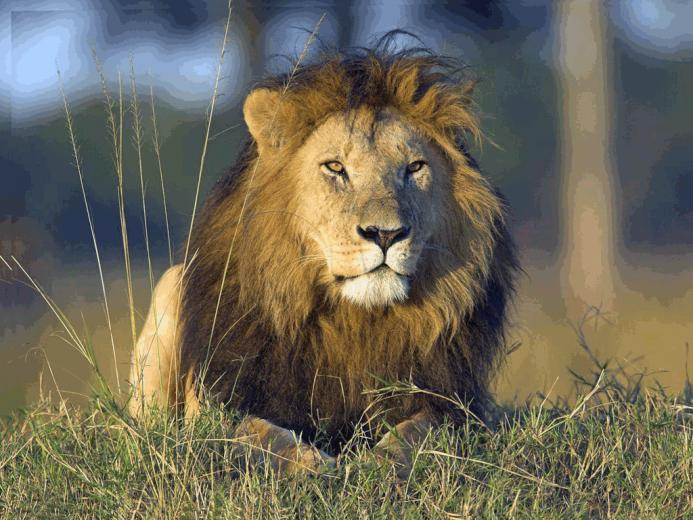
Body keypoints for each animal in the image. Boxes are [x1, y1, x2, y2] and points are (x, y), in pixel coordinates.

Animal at [129, 41, 519, 478]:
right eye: (335, 167)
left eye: (414, 167)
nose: (386, 234)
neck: (354, 321)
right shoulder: (222, 399)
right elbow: (261, 434)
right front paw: (312, 466)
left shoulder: (453, 403)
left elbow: (418, 432)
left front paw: (379, 464)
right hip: (170, 288)